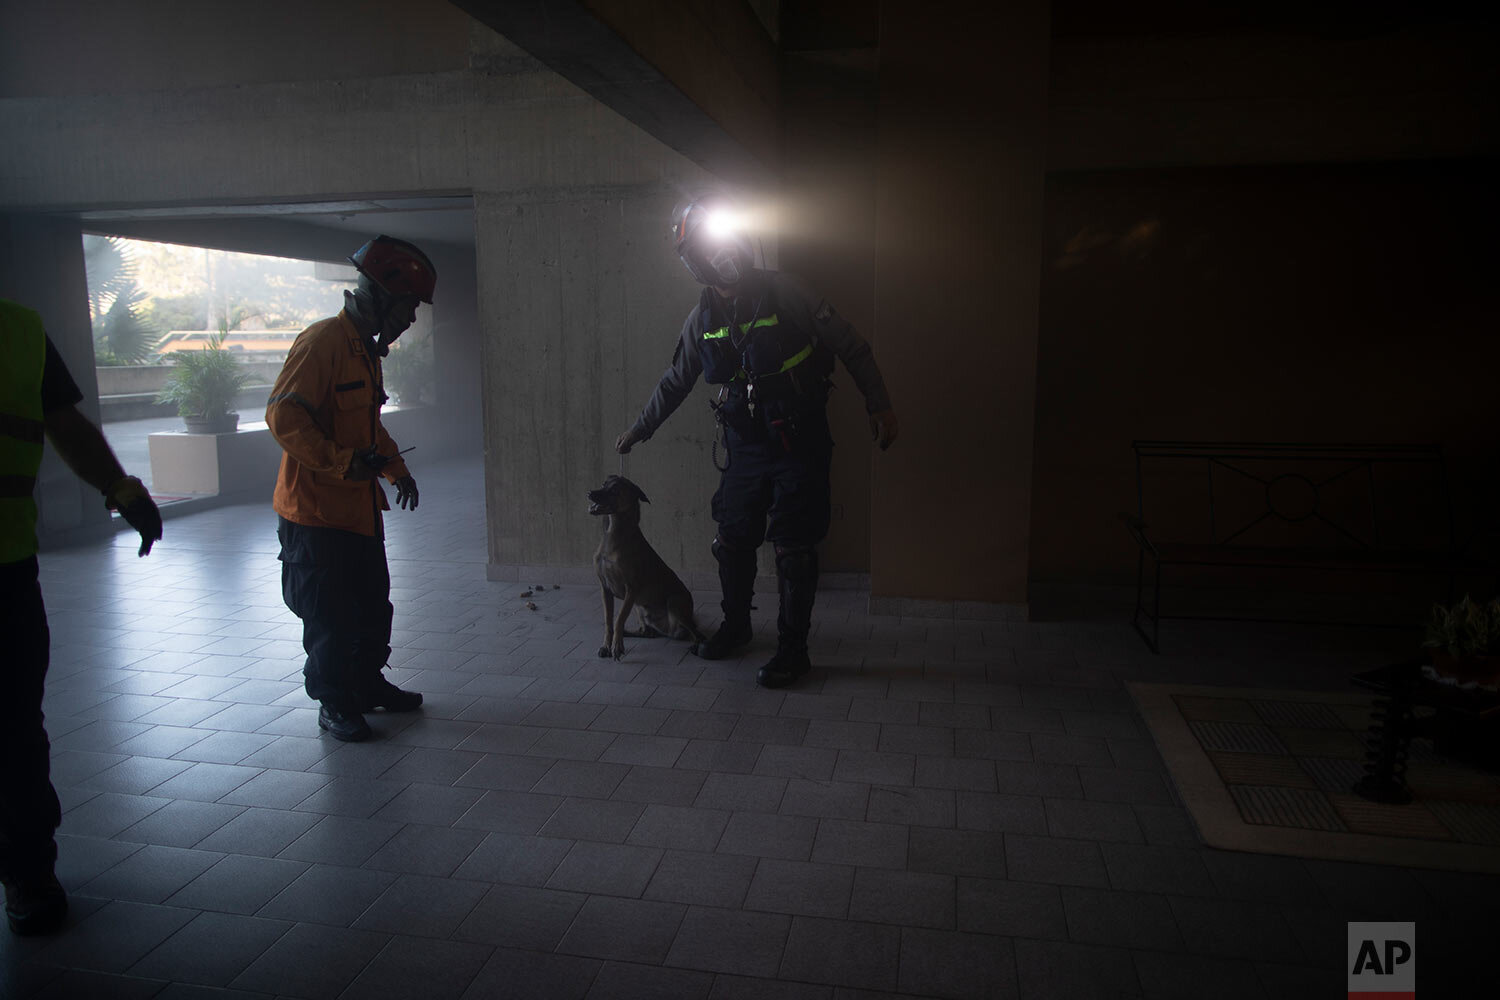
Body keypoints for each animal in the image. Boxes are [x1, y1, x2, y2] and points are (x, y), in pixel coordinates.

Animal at [585, 476, 708, 659]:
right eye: (603, 484)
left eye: (614, 490)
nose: (589, 493)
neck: (613, 534)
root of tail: (668, 631)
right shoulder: (605, 589)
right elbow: (609, 621)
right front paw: (608, 645)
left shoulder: (631, 590)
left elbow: (619, 618)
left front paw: (617, 646)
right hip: (639, 607)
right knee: (647, 632)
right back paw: (628, 633)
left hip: (674, 603)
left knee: (697, 634)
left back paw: (695, 645)